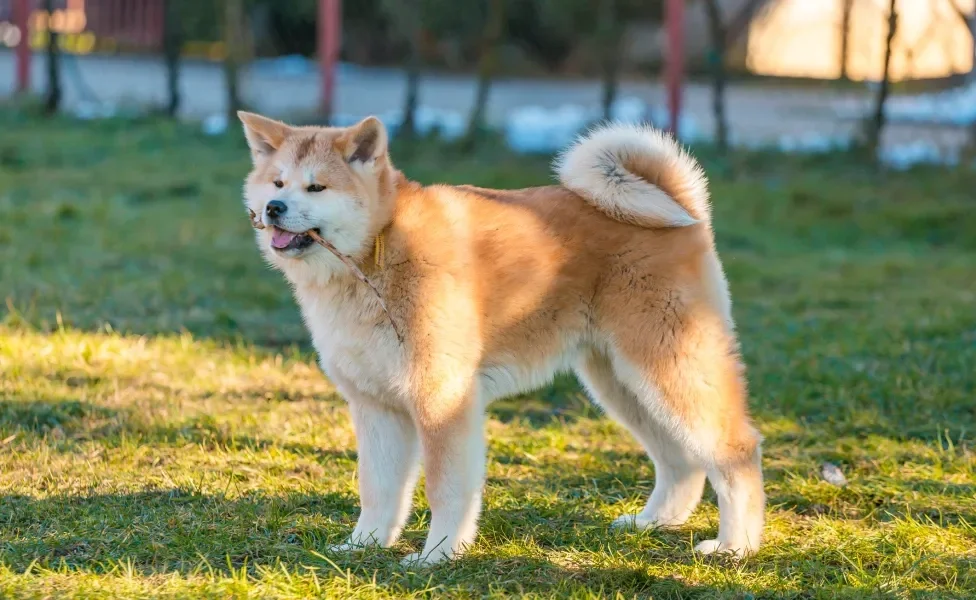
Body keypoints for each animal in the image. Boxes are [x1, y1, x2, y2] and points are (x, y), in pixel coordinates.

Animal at [240, 111, 768, 564]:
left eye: (317, 186)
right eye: (278, 182)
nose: (273, 207)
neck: (379, 250)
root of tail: (684, 208)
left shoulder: (441, 401)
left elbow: (445, 489)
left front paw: (436, 556)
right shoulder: (376, 407)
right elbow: (377, 489)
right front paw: (364, 545)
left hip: (668, 368)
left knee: (736, 451)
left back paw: (735, 546)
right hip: (623, 382)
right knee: (679, 461)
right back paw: (654, 522)